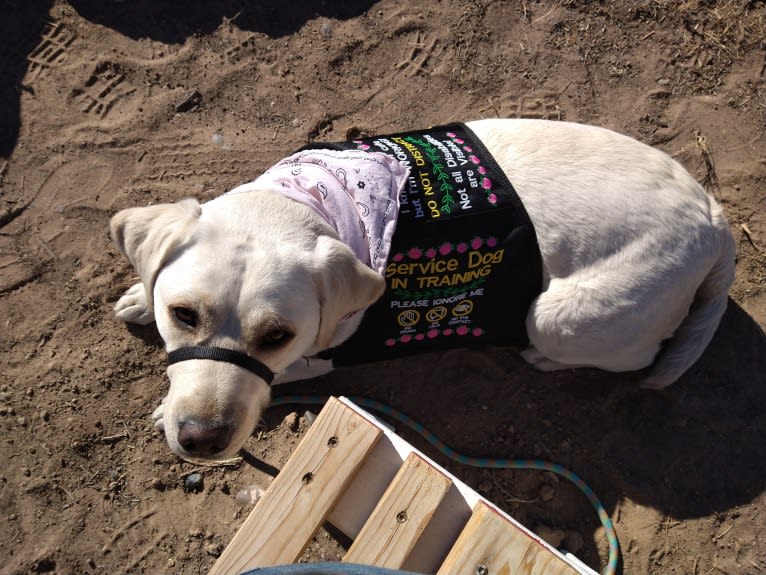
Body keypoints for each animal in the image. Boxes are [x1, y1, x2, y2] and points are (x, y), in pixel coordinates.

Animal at [109, 119, 736, 462]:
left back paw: (548, 359)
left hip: (555, 317)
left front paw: (163, 406)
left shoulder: (321, 356)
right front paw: (140, 294)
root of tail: (714, 219)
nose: (201, 440)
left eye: (279, 337)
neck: (315, 203)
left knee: (637, 353)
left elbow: (277, 376)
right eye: (182, 314)